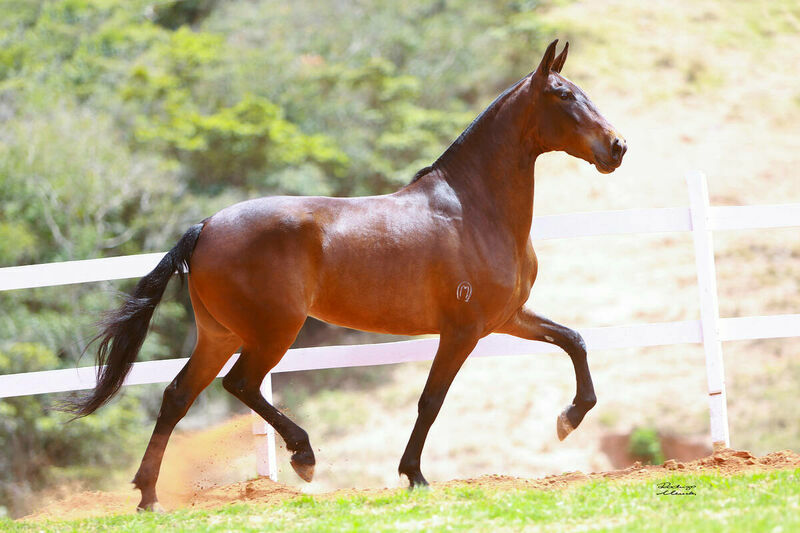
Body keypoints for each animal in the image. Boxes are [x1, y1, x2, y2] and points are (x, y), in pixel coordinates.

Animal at [67, 39, 626, 511]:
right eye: (562, 95)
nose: (617, 147)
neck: (474, 208)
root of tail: (205, 227)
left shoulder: (507, 317)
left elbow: (573, 340)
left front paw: (569, 419)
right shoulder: (462, 330)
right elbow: (431, 400)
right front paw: (414, 476)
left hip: (219, 334)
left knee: (177, 396)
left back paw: (148, 497)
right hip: (272, 331)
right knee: (241, 384)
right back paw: (303, 457)